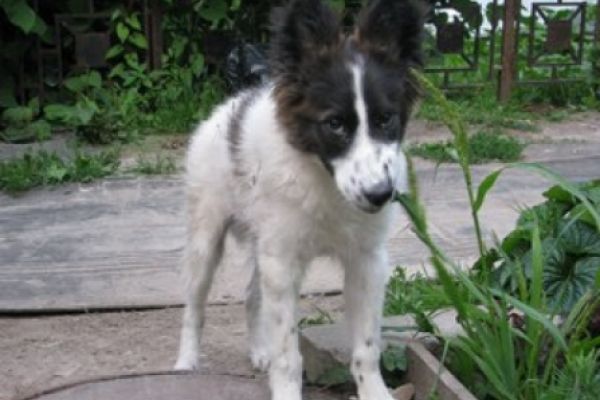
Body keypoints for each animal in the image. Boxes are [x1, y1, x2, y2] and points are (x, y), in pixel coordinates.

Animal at [174, 0, 424, 399]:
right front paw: (287, 388)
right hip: (205, 238)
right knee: (194, 306)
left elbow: (367, 348)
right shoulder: (282, 262)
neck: (326, 182)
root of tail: (230, 106)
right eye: (335, 124)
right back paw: (185, 366)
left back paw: (258, 351)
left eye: (386, 119)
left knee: (252, 295)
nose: (380, 195)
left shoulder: (367, 261)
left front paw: (374, 391)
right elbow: (288, 352)